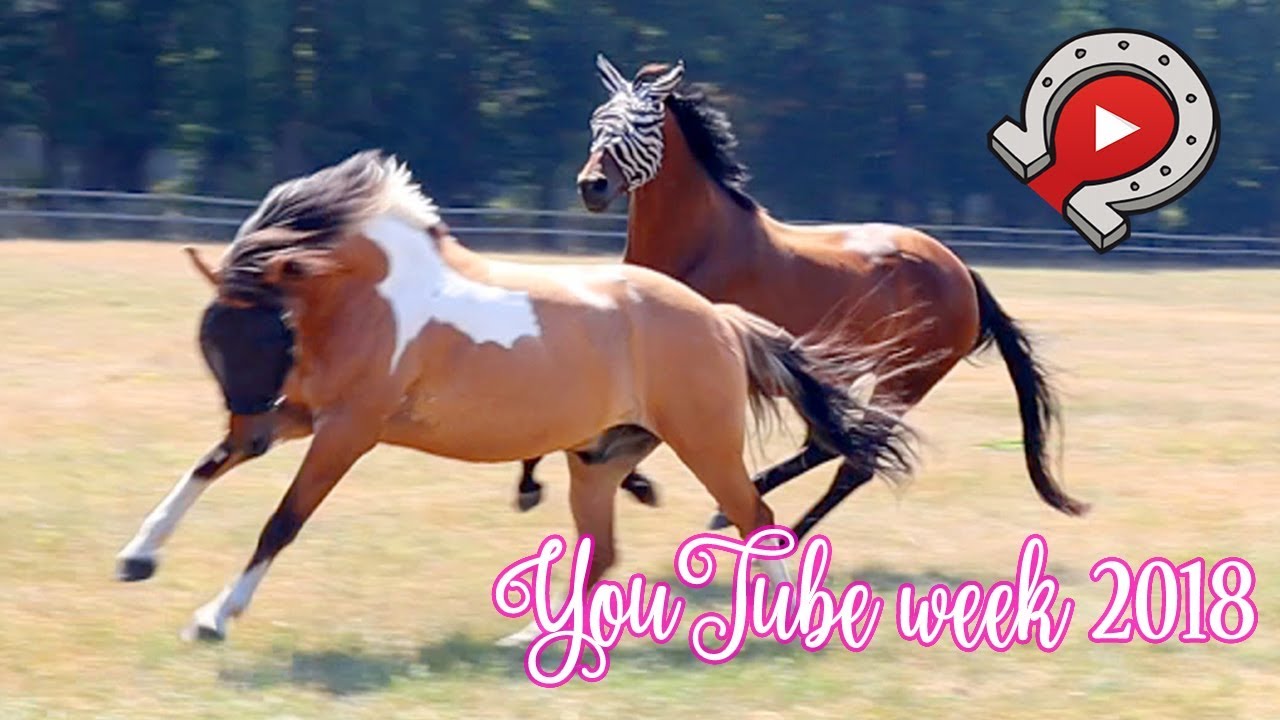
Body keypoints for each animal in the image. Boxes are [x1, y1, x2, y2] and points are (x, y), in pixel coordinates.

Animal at [113, 150, 917, 642]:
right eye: (214, 347)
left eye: (269, 338)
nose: (249, 434)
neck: (369, 300)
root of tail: (720, 319)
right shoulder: (303, 414)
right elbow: (206, 465)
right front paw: (137, 557)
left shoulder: (348, 430)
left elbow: (281, 522)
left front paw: (214, 617)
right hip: (598, 461)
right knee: (604, 553)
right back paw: (530, 637)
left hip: (704, 444)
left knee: (758, 520)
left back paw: (781, 624)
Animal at [513, 55, 1090, 539]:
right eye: (597, 120)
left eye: (643, 125)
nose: (592, 185)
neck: (699, 248)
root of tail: (961, 271)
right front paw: (547, 479)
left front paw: (612, 483)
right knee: (829, 445)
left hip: (903, 380)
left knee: (855, 461)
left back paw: (776, 534)